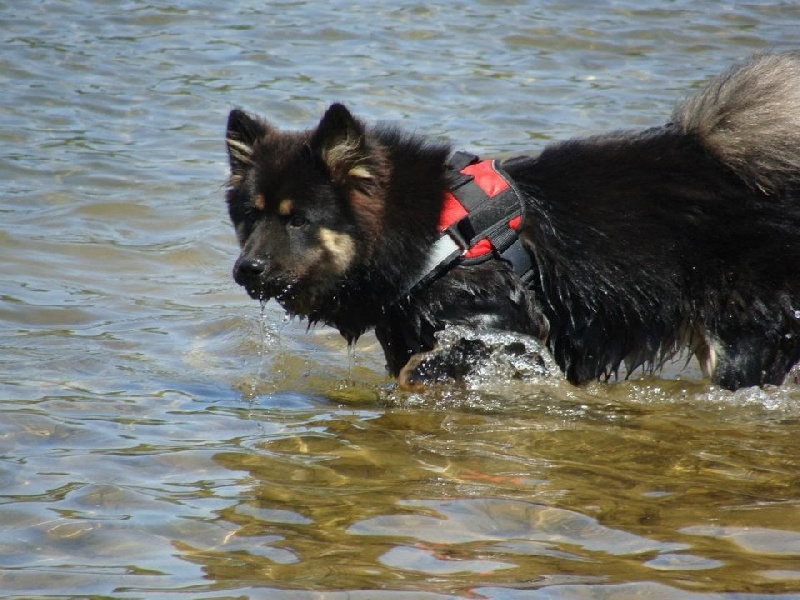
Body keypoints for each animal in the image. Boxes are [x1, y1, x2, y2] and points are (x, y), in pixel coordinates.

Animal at [222, 54, 800, 392]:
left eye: (298, 220)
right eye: (250, 216)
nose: (245, 269)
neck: (428, 236)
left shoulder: (504, 327)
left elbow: (429, 368)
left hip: (735, 342)